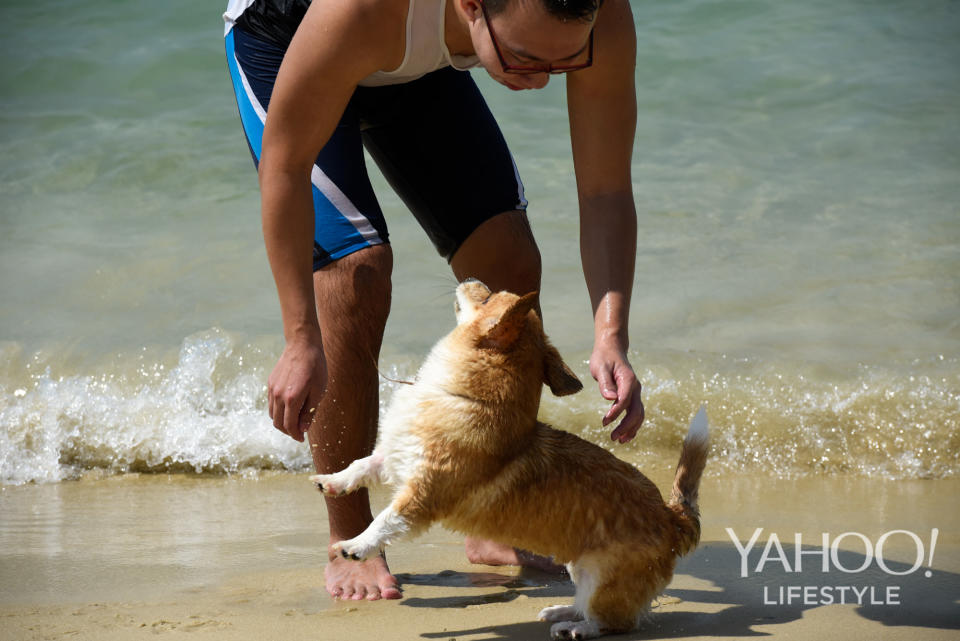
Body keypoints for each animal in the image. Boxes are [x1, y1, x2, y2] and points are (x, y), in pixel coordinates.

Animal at [312, 280, 708, 640]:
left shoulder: (423, 495)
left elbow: (385, 520)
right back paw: (562, 609)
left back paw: (576, 627)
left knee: (615, 621)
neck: (466, 397)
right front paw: (330, 480)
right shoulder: (397, 458)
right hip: (578, 566)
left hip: (602, 576)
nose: (472, 278)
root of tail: (672, 518)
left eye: (487, 297)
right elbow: (362, 466)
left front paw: (355, 546)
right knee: (591, 603)